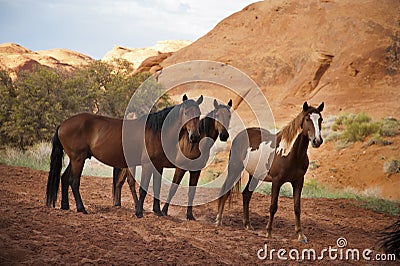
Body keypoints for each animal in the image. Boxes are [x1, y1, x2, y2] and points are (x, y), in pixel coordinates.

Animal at [47, 94, 203, 215]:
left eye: (199, 114)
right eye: (186, 112)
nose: (195, 136)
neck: (157, 131)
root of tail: (62, 125)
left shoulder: (158, 166)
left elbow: (157, 188)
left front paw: (158, 212)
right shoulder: (147, 165)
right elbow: (143, 189)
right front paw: (139, 212)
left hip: (75, 159)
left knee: (64, 178)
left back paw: (65, 206)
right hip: (78, 159)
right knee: (74, 181)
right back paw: (82, 209)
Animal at [214, 101, 324, 242]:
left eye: (320, 119)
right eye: (307, 119)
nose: (317, 141)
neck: (290, 153)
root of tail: (241, 135)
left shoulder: (299, 181)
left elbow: (297, 207)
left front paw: (300, 235)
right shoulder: (277, 181)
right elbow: (273, 206)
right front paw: (269, 232)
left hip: (254, 176)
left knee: (246, 194)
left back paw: (248, 225)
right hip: (235, 169)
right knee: (226, 192)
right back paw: (218, 220)